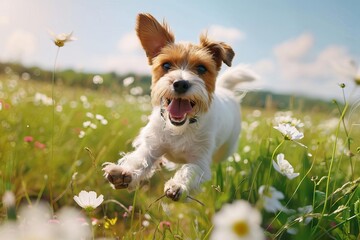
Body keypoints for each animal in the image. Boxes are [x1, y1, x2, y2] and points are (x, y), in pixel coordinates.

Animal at [102, 12, 258, 201]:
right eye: (166, 65)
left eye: (201, 68)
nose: (181, 83)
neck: (180, 128)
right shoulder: (152, 144)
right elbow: (140, 158)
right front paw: (125, 172)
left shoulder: (200, 161)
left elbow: (190, 170)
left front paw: (178, 185)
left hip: (226, 149)